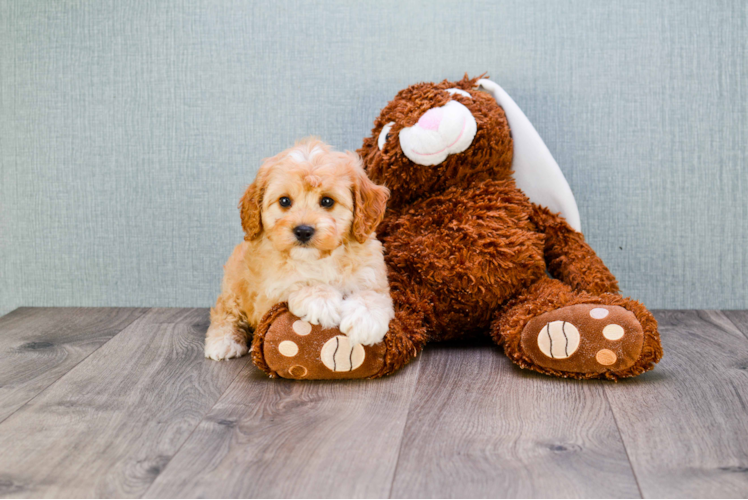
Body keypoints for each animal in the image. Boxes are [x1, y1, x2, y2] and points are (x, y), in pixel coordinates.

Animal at [205, 139, 392, 362]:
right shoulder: (268, 292)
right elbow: (295, 282)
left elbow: (372, 295)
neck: (319, 259)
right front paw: (321, 300)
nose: (303, 231)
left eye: (327, 201)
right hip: (233, 285)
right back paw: (223, 341)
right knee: (225, 312)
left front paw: (366, 319)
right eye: (284, 201)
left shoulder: (372, 275)